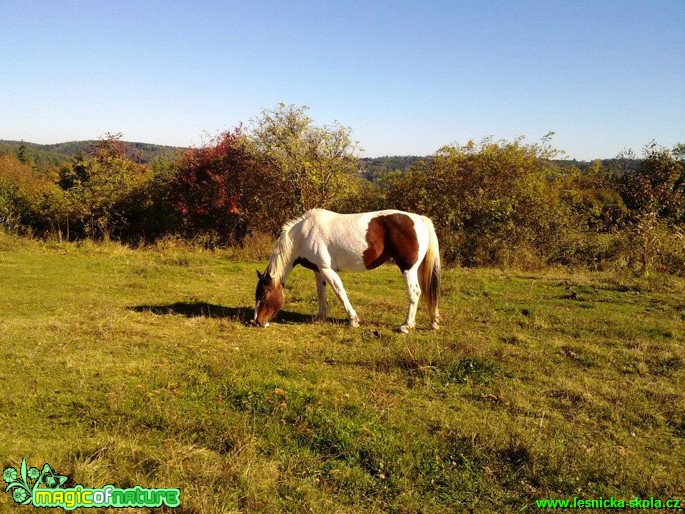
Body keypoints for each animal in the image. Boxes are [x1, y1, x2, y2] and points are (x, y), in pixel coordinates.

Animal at [254, 208, 440, 332]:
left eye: (264, 296)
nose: (257, 322)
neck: (304, 235)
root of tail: (419, 219)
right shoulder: (318, 270)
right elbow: (321, 293)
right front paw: (320, 317)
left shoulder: (327, 269)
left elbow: (340, 292)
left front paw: (353, 320)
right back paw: (433, 323)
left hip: (408, 269)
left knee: (414, 293)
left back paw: (406, 326)